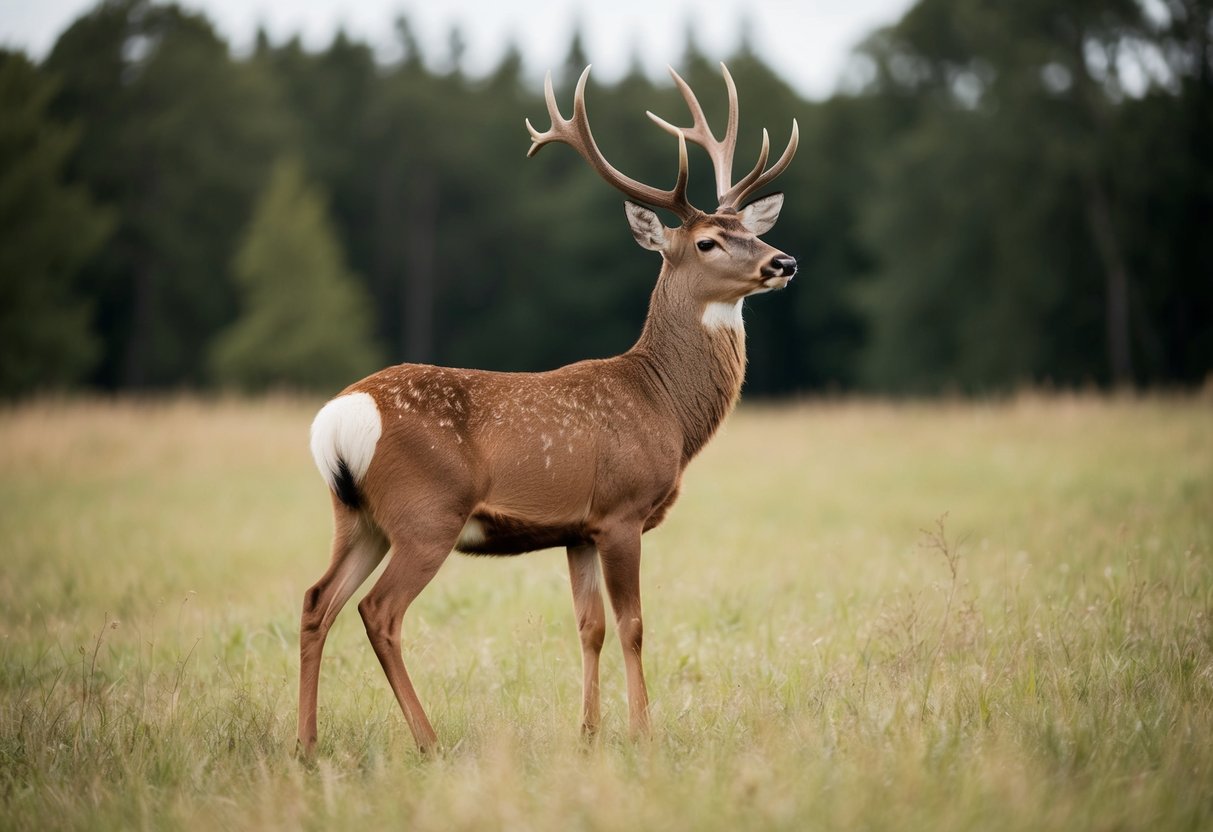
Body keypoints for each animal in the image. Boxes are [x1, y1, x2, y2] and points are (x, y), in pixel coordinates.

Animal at [298, 63, 798, 756]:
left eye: (753, 231)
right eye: (707, 242)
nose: (784, 261)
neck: (663, 406)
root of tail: (341, 416)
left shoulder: (577, 528)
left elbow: (589, 626)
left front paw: (588, 733)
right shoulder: (620, 510)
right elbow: (633, 624)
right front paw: (643, 732)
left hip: (357, 516)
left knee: (317, 601)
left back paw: (306, 745)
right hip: (427, 513)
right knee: (379, 611)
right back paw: (428, 741)